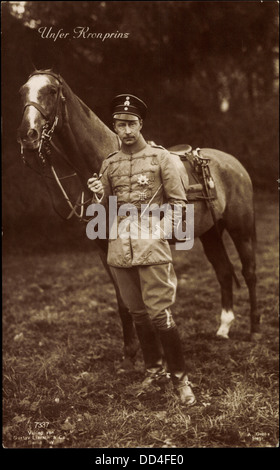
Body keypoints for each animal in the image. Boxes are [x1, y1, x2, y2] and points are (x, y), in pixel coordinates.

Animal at [15, 69, 260, 368]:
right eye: (23, 91)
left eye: (50, 91)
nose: (28, 135)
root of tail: (232, 163)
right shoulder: (106, 251)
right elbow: (124, 301)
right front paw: (131, 352)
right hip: (210, 233)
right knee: (224, 272)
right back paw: (223, 328)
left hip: (241, 229)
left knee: (249, 273)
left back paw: (255, 330)